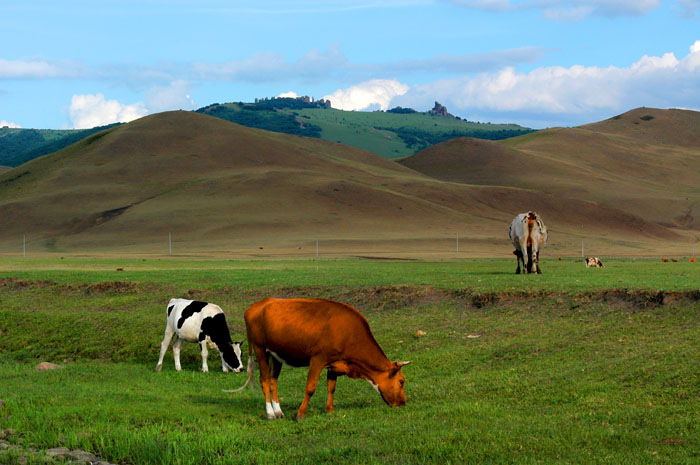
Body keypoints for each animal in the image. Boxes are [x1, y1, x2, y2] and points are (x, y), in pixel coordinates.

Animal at [227, 298, 408, 420]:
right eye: (401, 381)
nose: (403, 403)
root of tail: (256, 305)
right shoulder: (317, 359)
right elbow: (310, 388)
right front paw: (300, 414)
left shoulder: (334, 364)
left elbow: (331, 388)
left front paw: (330, 410)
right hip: (260, 349)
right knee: (264, 380)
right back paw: (270, 413)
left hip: (275, 354)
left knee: (273, 381)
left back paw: (278, 411)